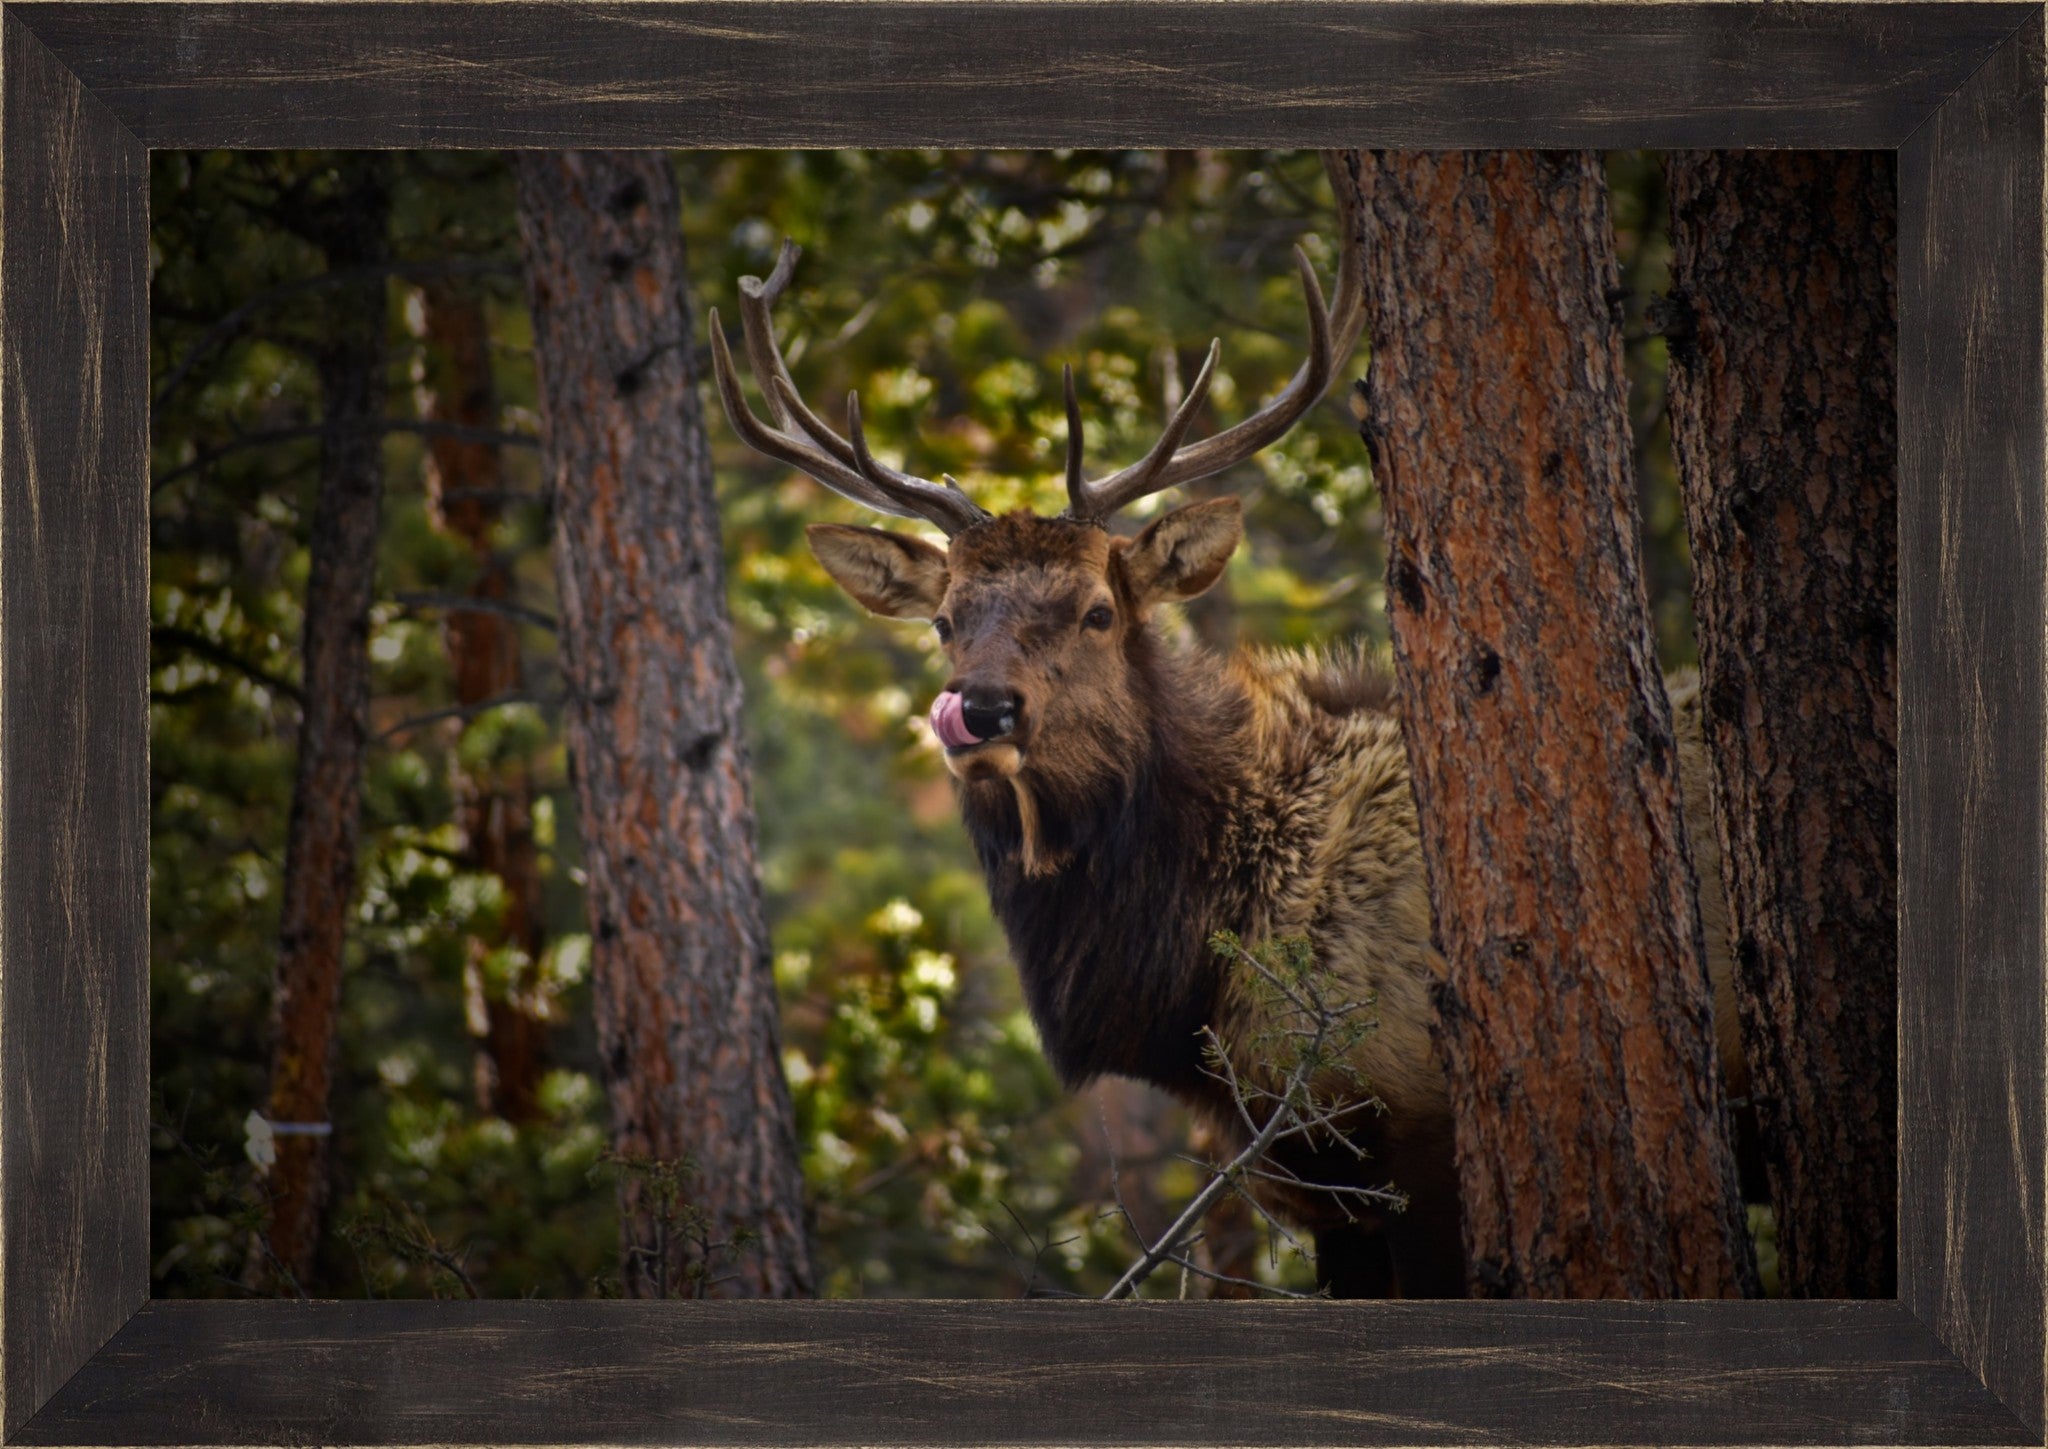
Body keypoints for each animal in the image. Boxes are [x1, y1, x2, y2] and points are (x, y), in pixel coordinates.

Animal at [706, 178, 1748, 1299]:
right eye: (944, 619)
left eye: (1095, 611)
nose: (978, 709)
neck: (1190, 988)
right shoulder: (1309, 1178)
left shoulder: (1412, 1134)